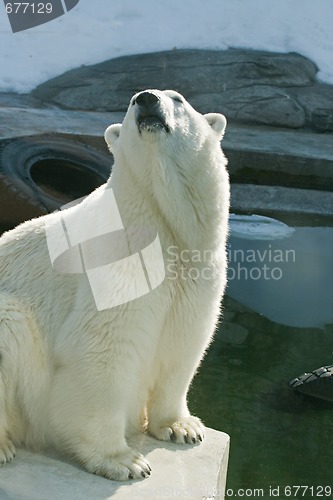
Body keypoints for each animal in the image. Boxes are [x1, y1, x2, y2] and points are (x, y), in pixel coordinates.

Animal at [0, 90, 228, 480]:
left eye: (177, 99)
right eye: (132, 100)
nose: (147, 99)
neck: (158, 227)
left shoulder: (198, 268)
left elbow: (184, 340)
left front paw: (182, 427)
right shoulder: (117, 266)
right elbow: (102, 350)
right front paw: (124, 460)